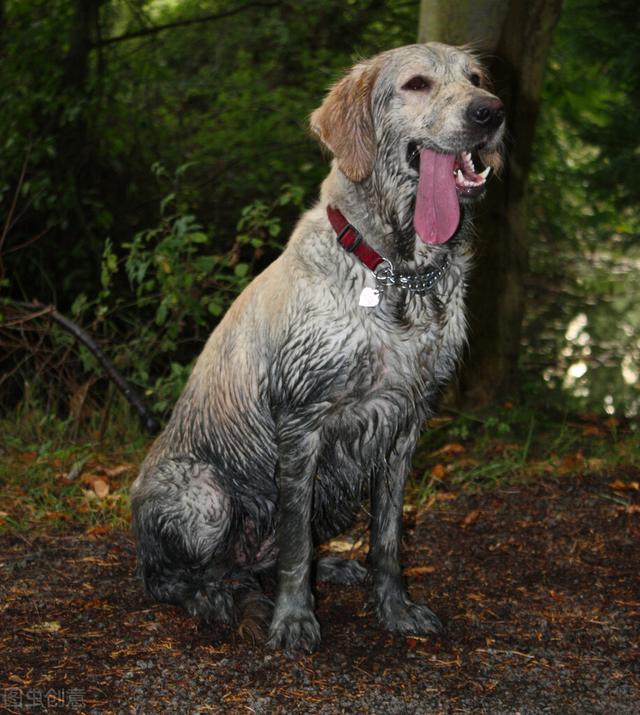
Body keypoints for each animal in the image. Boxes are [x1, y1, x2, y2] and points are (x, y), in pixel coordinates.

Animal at [131, 40, 504, 656]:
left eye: (475, 78)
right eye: (417, 84)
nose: (490, 113)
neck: (399, 275)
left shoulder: (405, 426)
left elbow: (387, 540)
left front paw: (393, 609)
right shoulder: (303, 423)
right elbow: (294, 542)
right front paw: (294, 621)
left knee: (258, 563)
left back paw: (328, 569)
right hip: (204, 495)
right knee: (170, 576)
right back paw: (212, 598)